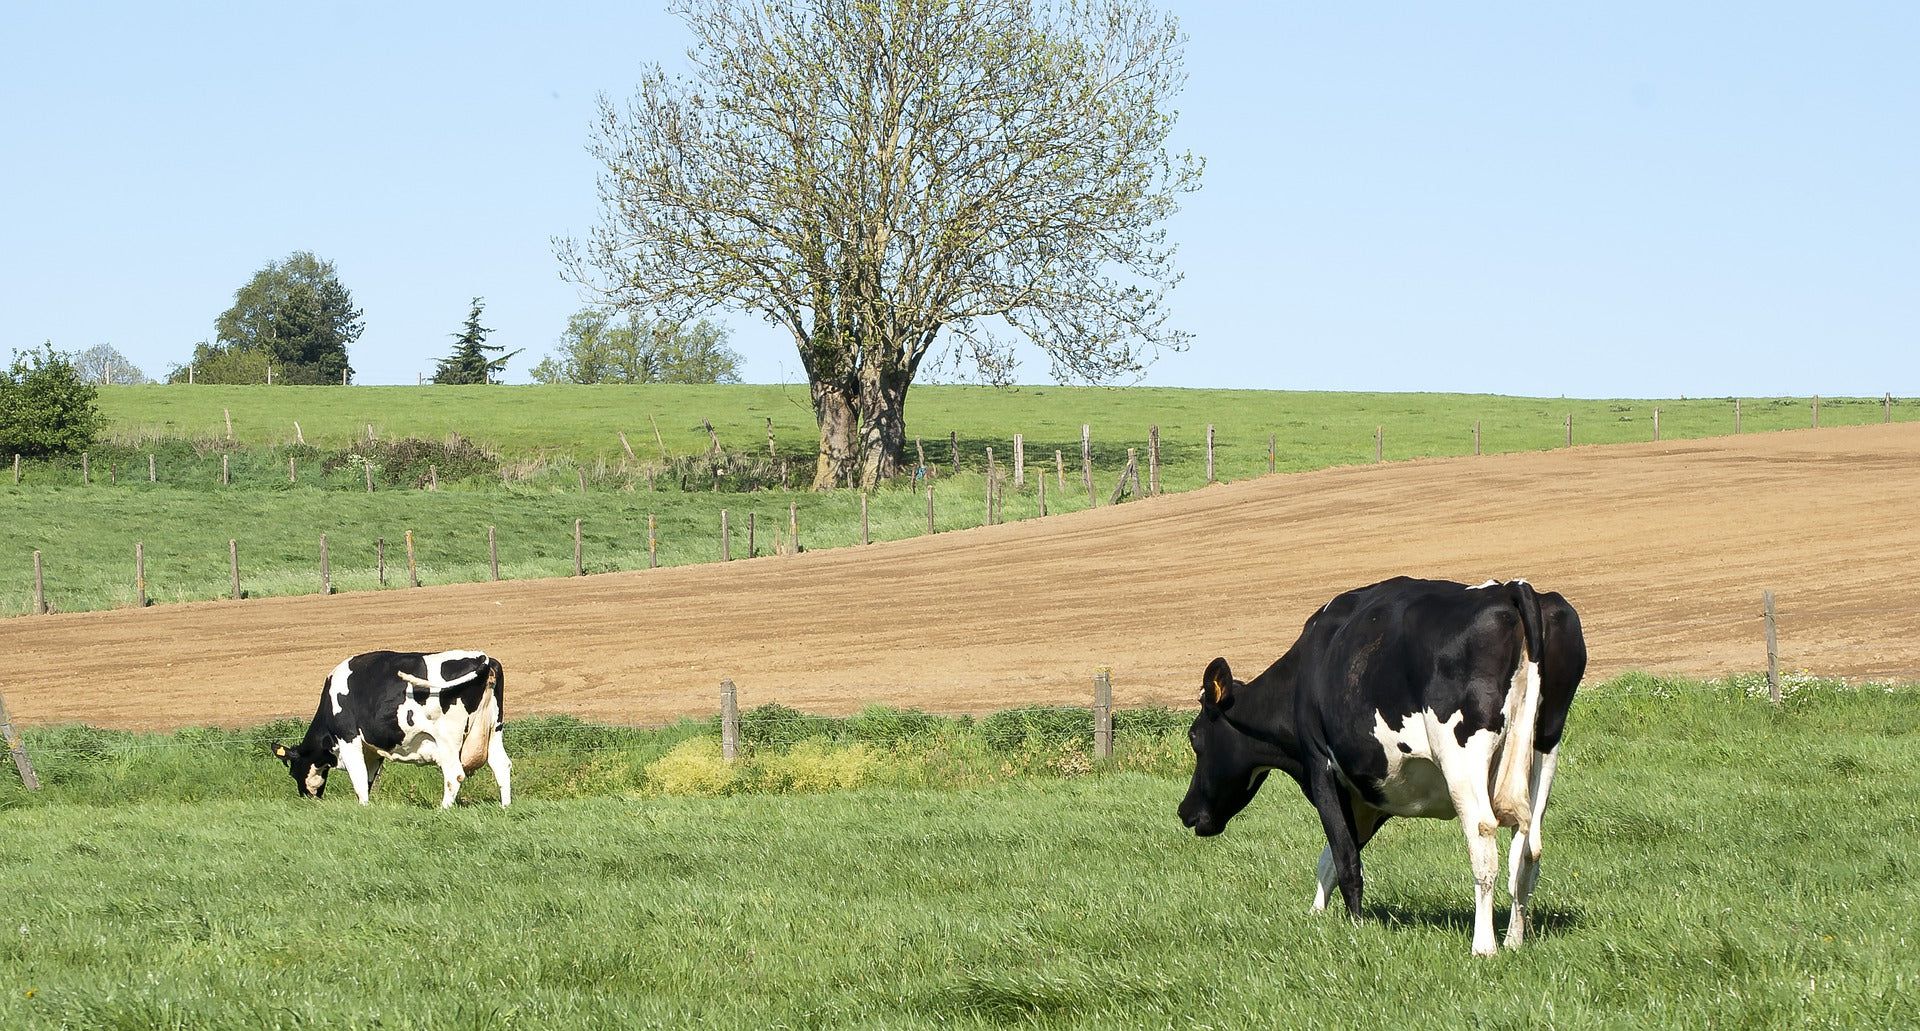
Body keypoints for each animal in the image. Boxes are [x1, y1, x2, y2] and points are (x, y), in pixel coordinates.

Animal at [270, 648, 514, 806]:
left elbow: (358, 779)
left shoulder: (349, 739)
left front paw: (363, 807)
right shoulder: (371, 751)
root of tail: (481, 657)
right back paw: (505, 806)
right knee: (501, 765)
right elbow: (369, 778)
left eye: (292, 771)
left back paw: (443, 809)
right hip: (494, 729)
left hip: (447, 739)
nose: (306, 798)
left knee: (454, 775)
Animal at [1175, 575, 1582, 952]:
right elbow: (1331, 858)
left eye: (1195, 737)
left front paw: (1354, 928)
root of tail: (1510, 588)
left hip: (1462, 757)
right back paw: (1514, 940)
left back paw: (1484, 946)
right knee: (1528, 850)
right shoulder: (1373, 790)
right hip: (1544, 746)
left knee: (1483, 839)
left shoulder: (1322, 767)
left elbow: (1344, 859)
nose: (1185, 811)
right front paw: (1316, 915)